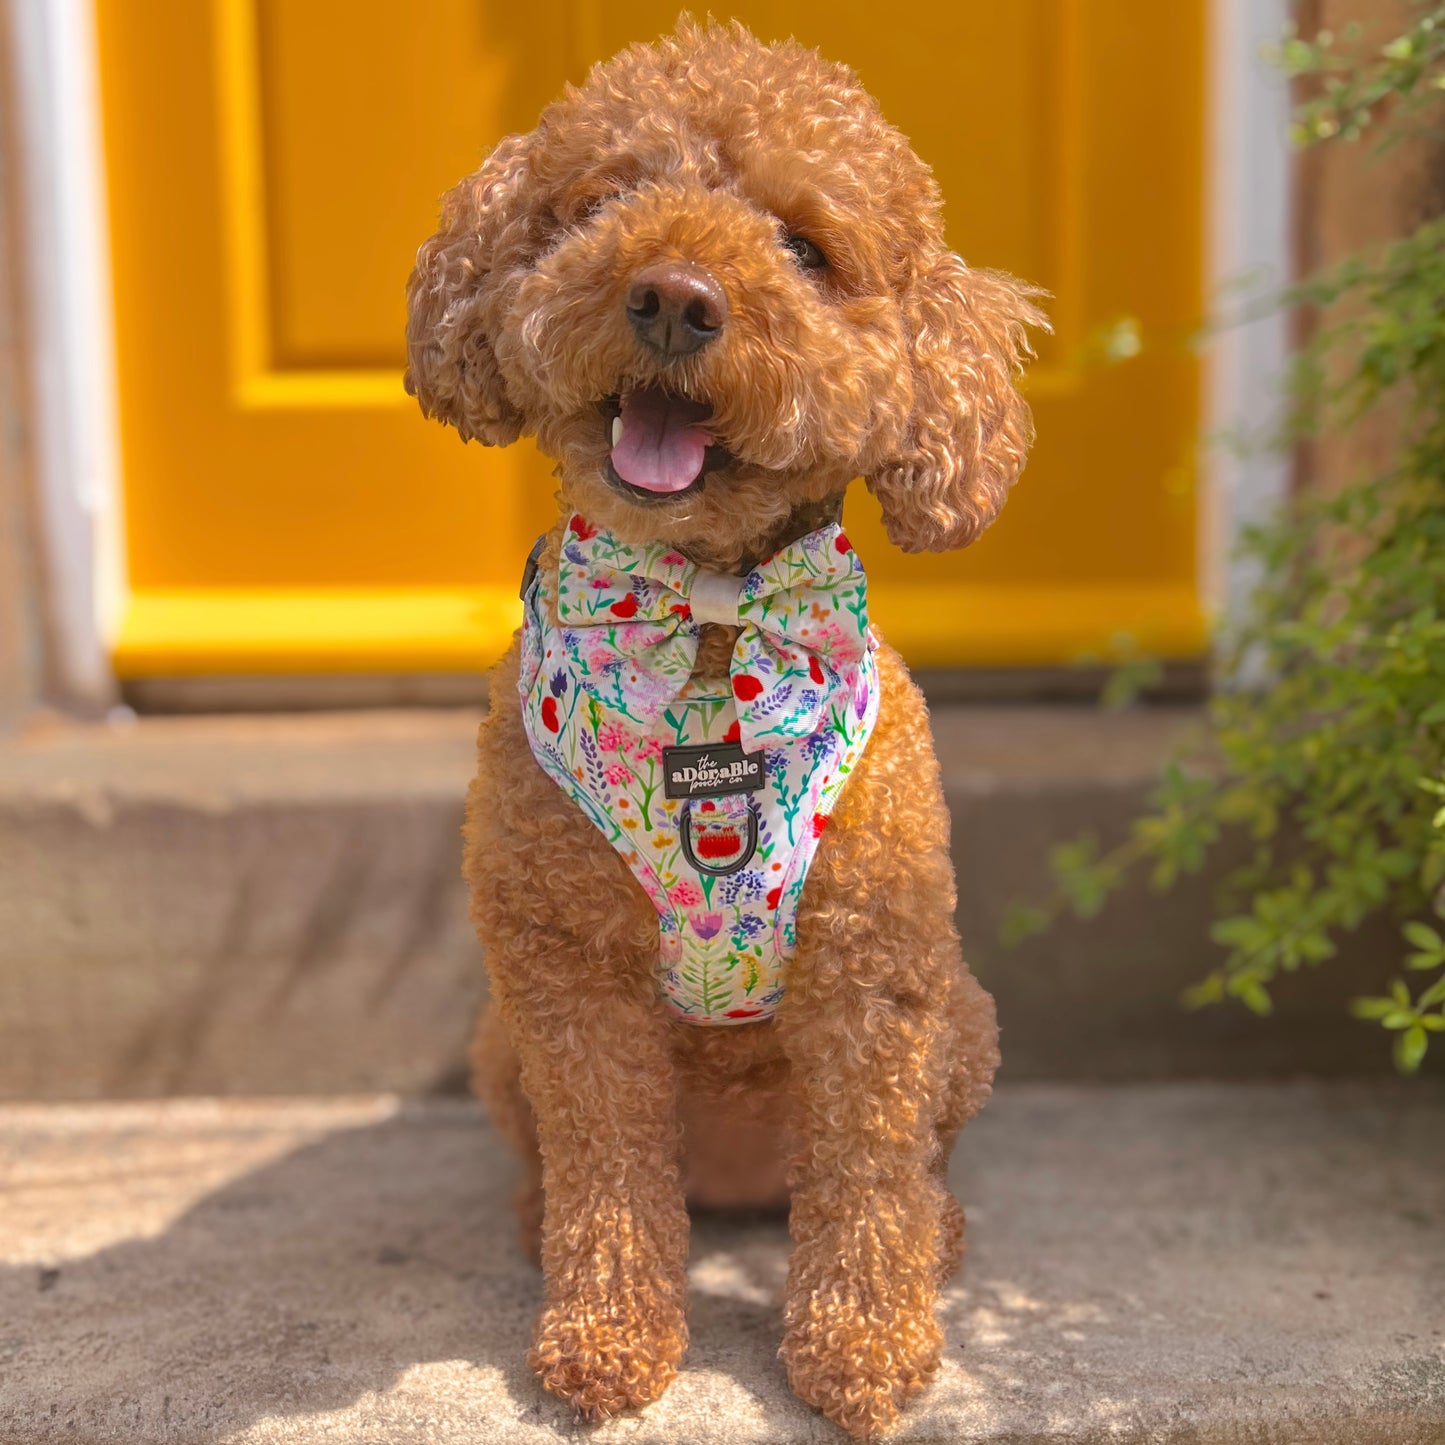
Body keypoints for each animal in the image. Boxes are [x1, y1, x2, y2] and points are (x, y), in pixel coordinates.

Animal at [401, 16, 1046, 1439]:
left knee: (898, 1172)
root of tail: (746, 1184)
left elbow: (867, 1180)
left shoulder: (874, 973)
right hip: (499, 1044)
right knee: (579, 1172)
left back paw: (937, 1235)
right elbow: (606, 1177)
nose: (674, 297)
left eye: (804, 246)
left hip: (962, 1020)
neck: (702, 621)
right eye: (605, 201)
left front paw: (862, 1349)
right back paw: (537, 1225)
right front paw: (602, 1340)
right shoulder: (564, 976)